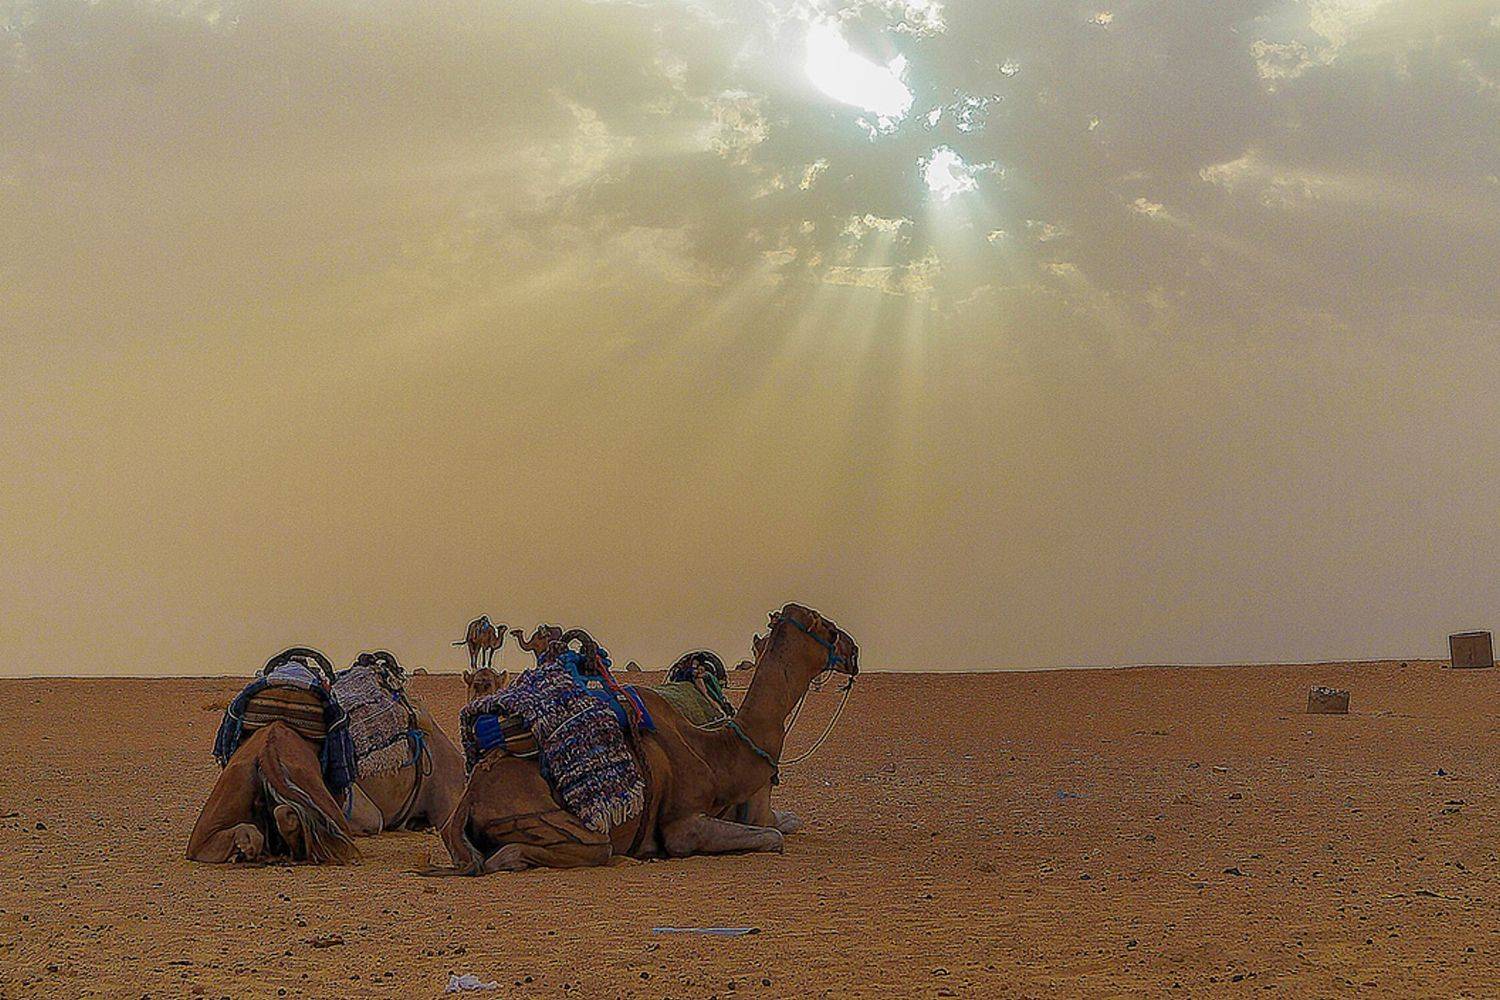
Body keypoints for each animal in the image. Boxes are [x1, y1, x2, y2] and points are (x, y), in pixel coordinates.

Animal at [437, 602, 858, 873]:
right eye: (827, 628)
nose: (853, 650)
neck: (715, 752)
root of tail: (471, 794)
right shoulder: (682, 824)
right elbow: (772, 836)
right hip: (564, 827)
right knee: (517, 856)